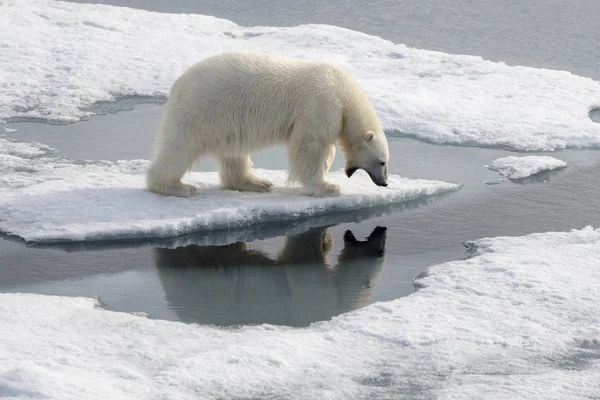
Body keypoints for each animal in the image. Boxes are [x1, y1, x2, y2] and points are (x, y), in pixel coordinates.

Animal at [145, 50, 390, 198]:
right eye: (382, 162)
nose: (385, 183)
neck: (345, 95)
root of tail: (179, 84)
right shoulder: (320, 105)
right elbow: (310, 145)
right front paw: (327, 186)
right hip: (202, 109)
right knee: (181, 146)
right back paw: (177, 187)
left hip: (227, 119)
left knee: (233, 152)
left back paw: (256, 182)